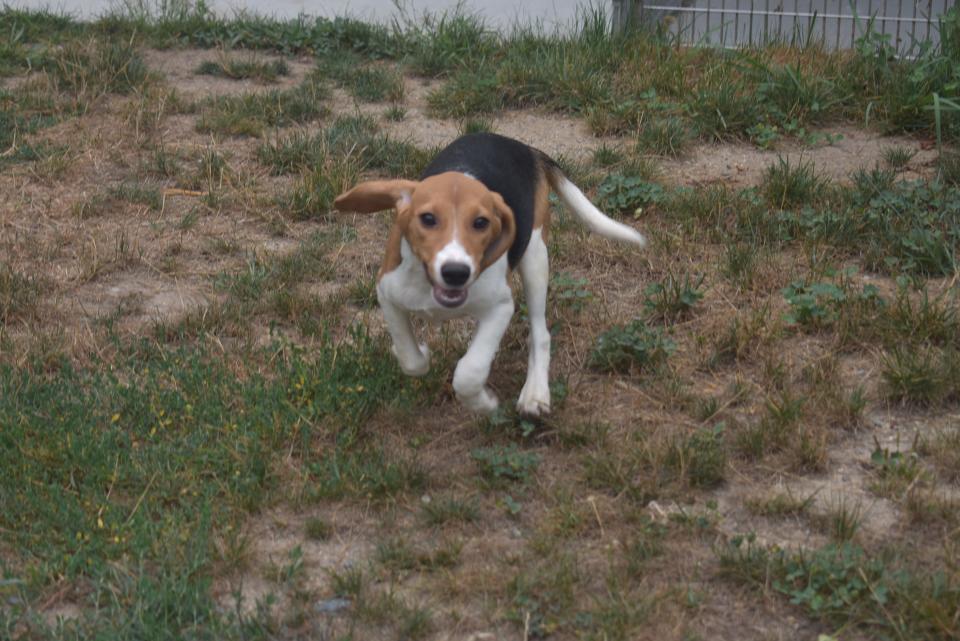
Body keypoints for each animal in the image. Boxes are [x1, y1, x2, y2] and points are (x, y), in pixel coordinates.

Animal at [336, 133, 644, 418]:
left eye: (481, 222)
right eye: (428, 219)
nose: (456, 272)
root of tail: (524, 147)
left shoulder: (500, 306)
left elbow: (469, 372)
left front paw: (484, 404)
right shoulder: (387, 292)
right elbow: (411, 358)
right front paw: (417, 352)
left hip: (535, 256)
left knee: (540, 333)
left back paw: (534, 394)